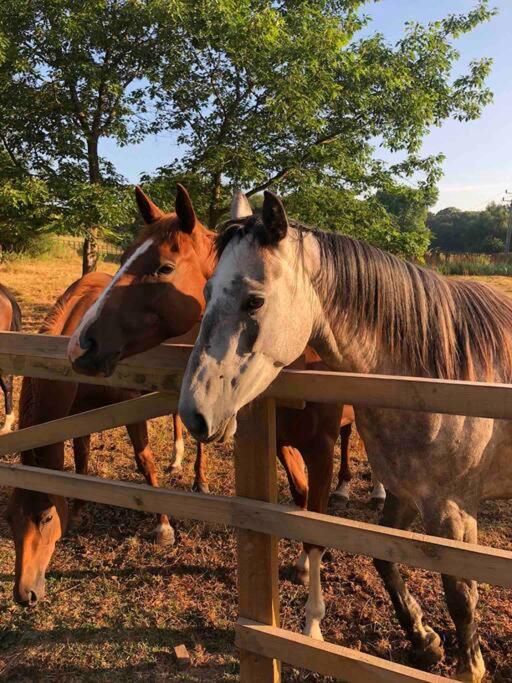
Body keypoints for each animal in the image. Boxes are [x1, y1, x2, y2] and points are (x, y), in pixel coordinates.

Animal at [5, 272, 176, 608]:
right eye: (10, 519)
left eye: (45, 518)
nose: (24, 594)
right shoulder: (77, 415)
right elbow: (81, 466)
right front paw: (77, 514)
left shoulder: (131, 407)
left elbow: (145, 462)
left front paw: (163, 527)